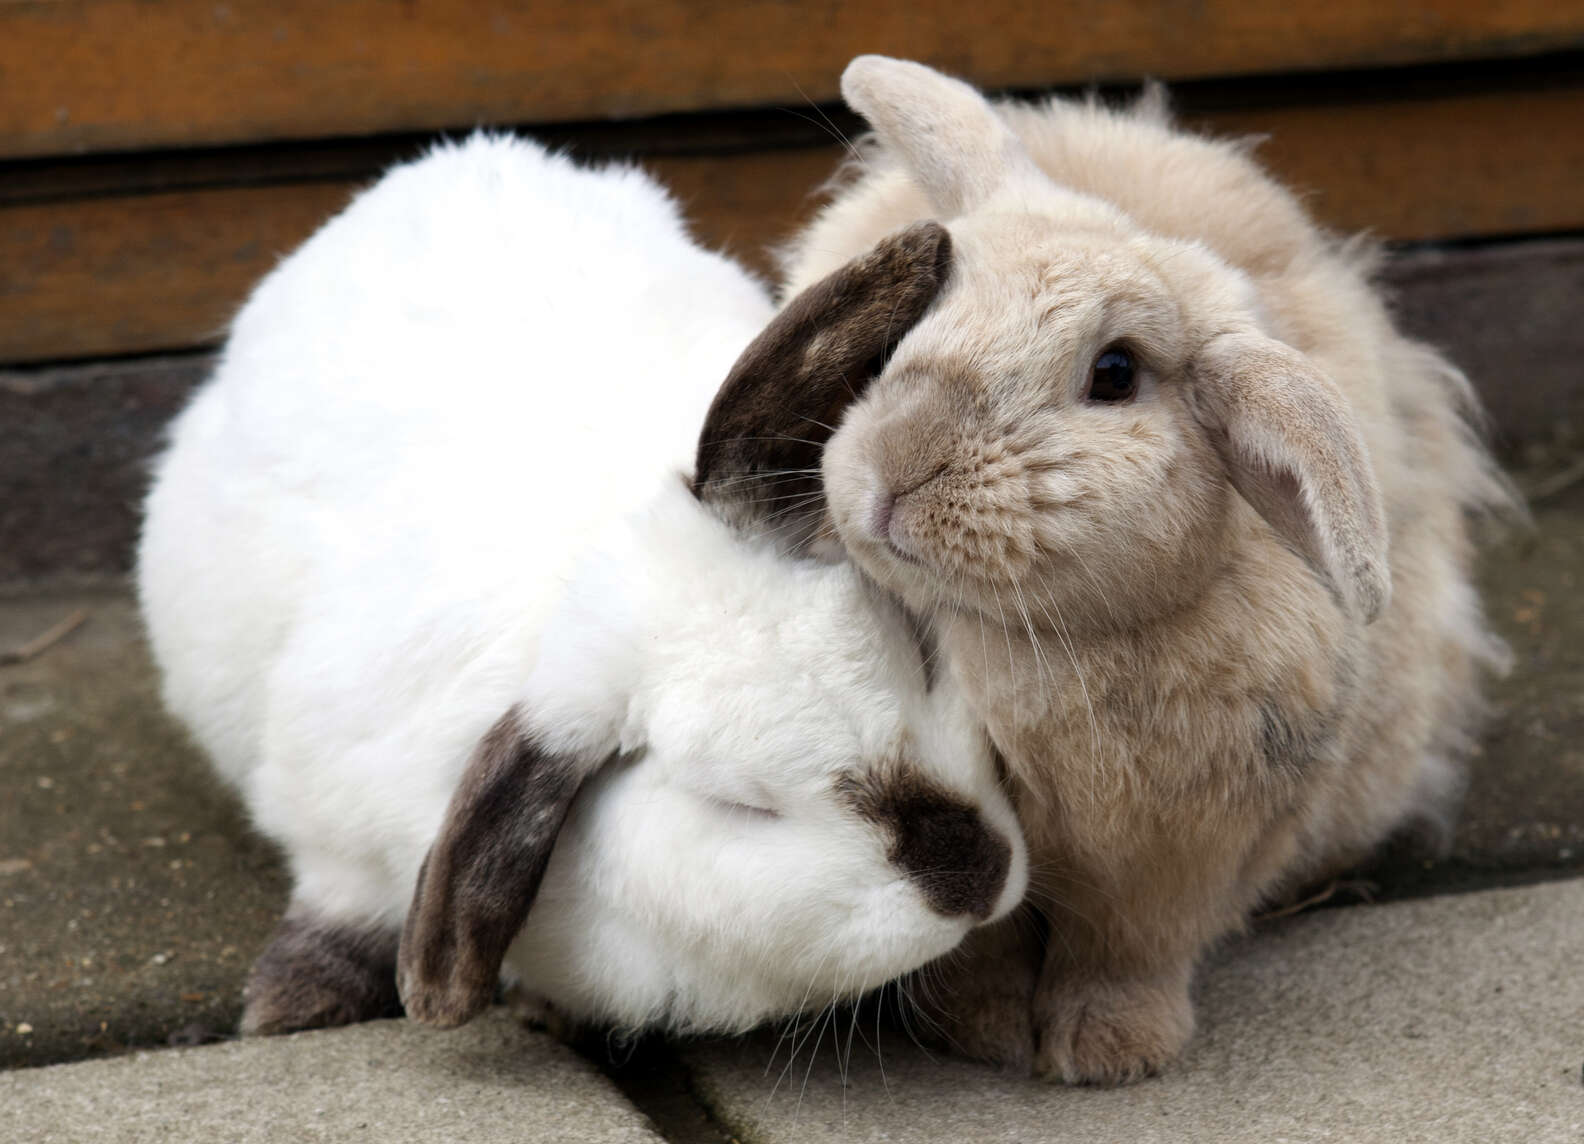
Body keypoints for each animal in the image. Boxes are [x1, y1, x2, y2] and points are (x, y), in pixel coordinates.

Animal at [136, 133, 1027, 1041]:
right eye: (738, 805)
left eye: (920, 653)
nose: (976, 879)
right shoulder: (332, 812)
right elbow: (342, 903)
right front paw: (291, 1000)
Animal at [768, 57, 1513, 1084]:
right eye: (919, 318)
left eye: (1115, 372)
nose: (890, 468)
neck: (1034, 643)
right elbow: (978, 951)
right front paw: (984, 1036)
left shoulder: (1180, 859)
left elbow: (1129, 952)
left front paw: (1109, 1055)